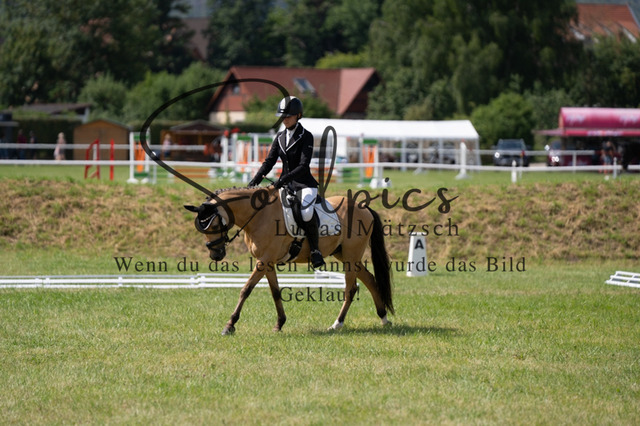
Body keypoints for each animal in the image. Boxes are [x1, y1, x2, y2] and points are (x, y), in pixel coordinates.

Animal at [184, 185, 394, 335]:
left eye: (214, 224)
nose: (216, 255)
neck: (258, 215)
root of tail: (363, 208)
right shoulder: (267, 262)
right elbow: (275, 292)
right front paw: (279, 323)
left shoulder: (264, 260)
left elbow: (246, 290)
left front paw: (230, 325)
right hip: (344, 255)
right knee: (370, 280)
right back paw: (383, 318)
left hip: (351, 256)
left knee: (351, 289)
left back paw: (337, 324)